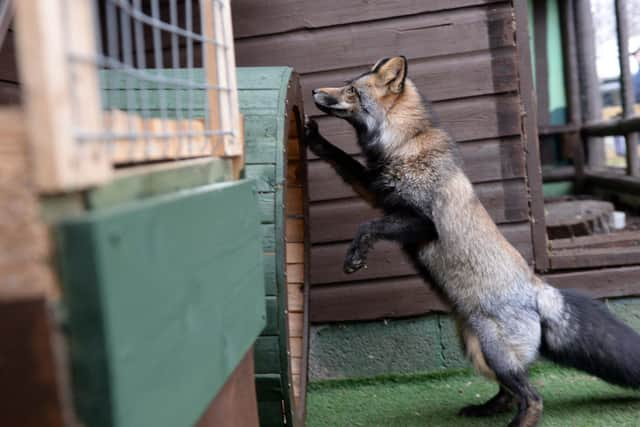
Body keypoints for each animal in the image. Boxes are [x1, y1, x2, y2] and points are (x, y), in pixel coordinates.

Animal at [302, 56, 640, 427]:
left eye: (351, 89)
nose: (314, 90)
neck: (403, 145)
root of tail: (540, 290)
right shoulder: (381, 194)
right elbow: (342, 161)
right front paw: (314, 139)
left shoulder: (423, 222)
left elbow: (366, 227)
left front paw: (354, 258)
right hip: (476, 349)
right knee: (511, 393)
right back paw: (486, 409)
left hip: (494, 349)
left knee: (533, 398)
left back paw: (517, 422)